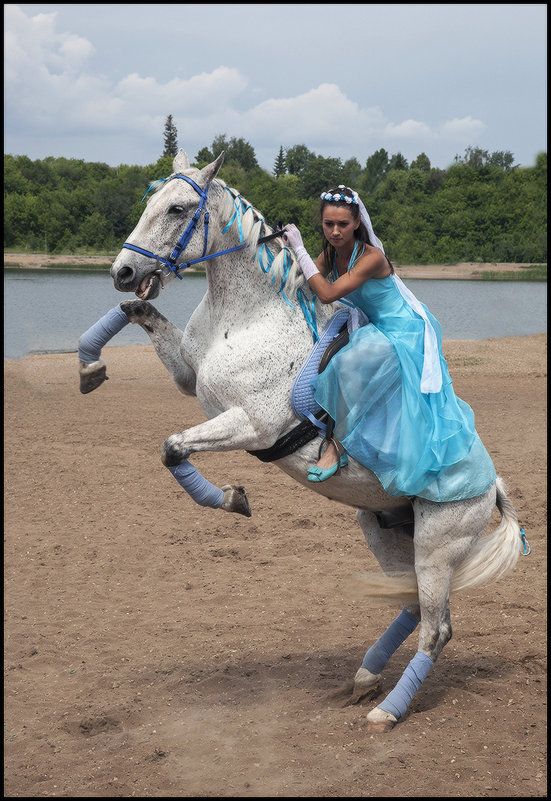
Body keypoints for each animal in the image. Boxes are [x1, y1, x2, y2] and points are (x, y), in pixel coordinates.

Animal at [84, 148, 524, 732]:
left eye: (178, 209)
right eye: (149, 201)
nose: (123, 271)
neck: (245, 317)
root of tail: (493, 486)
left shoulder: (251, 424)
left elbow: (172, 446)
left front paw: (232, 499)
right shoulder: (187, 375)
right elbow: (139, 313)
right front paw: (89, 366)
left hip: (437, 547)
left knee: (436, 628)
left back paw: (386, 710)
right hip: (385, 533)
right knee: (411, 608)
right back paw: (364, 679)